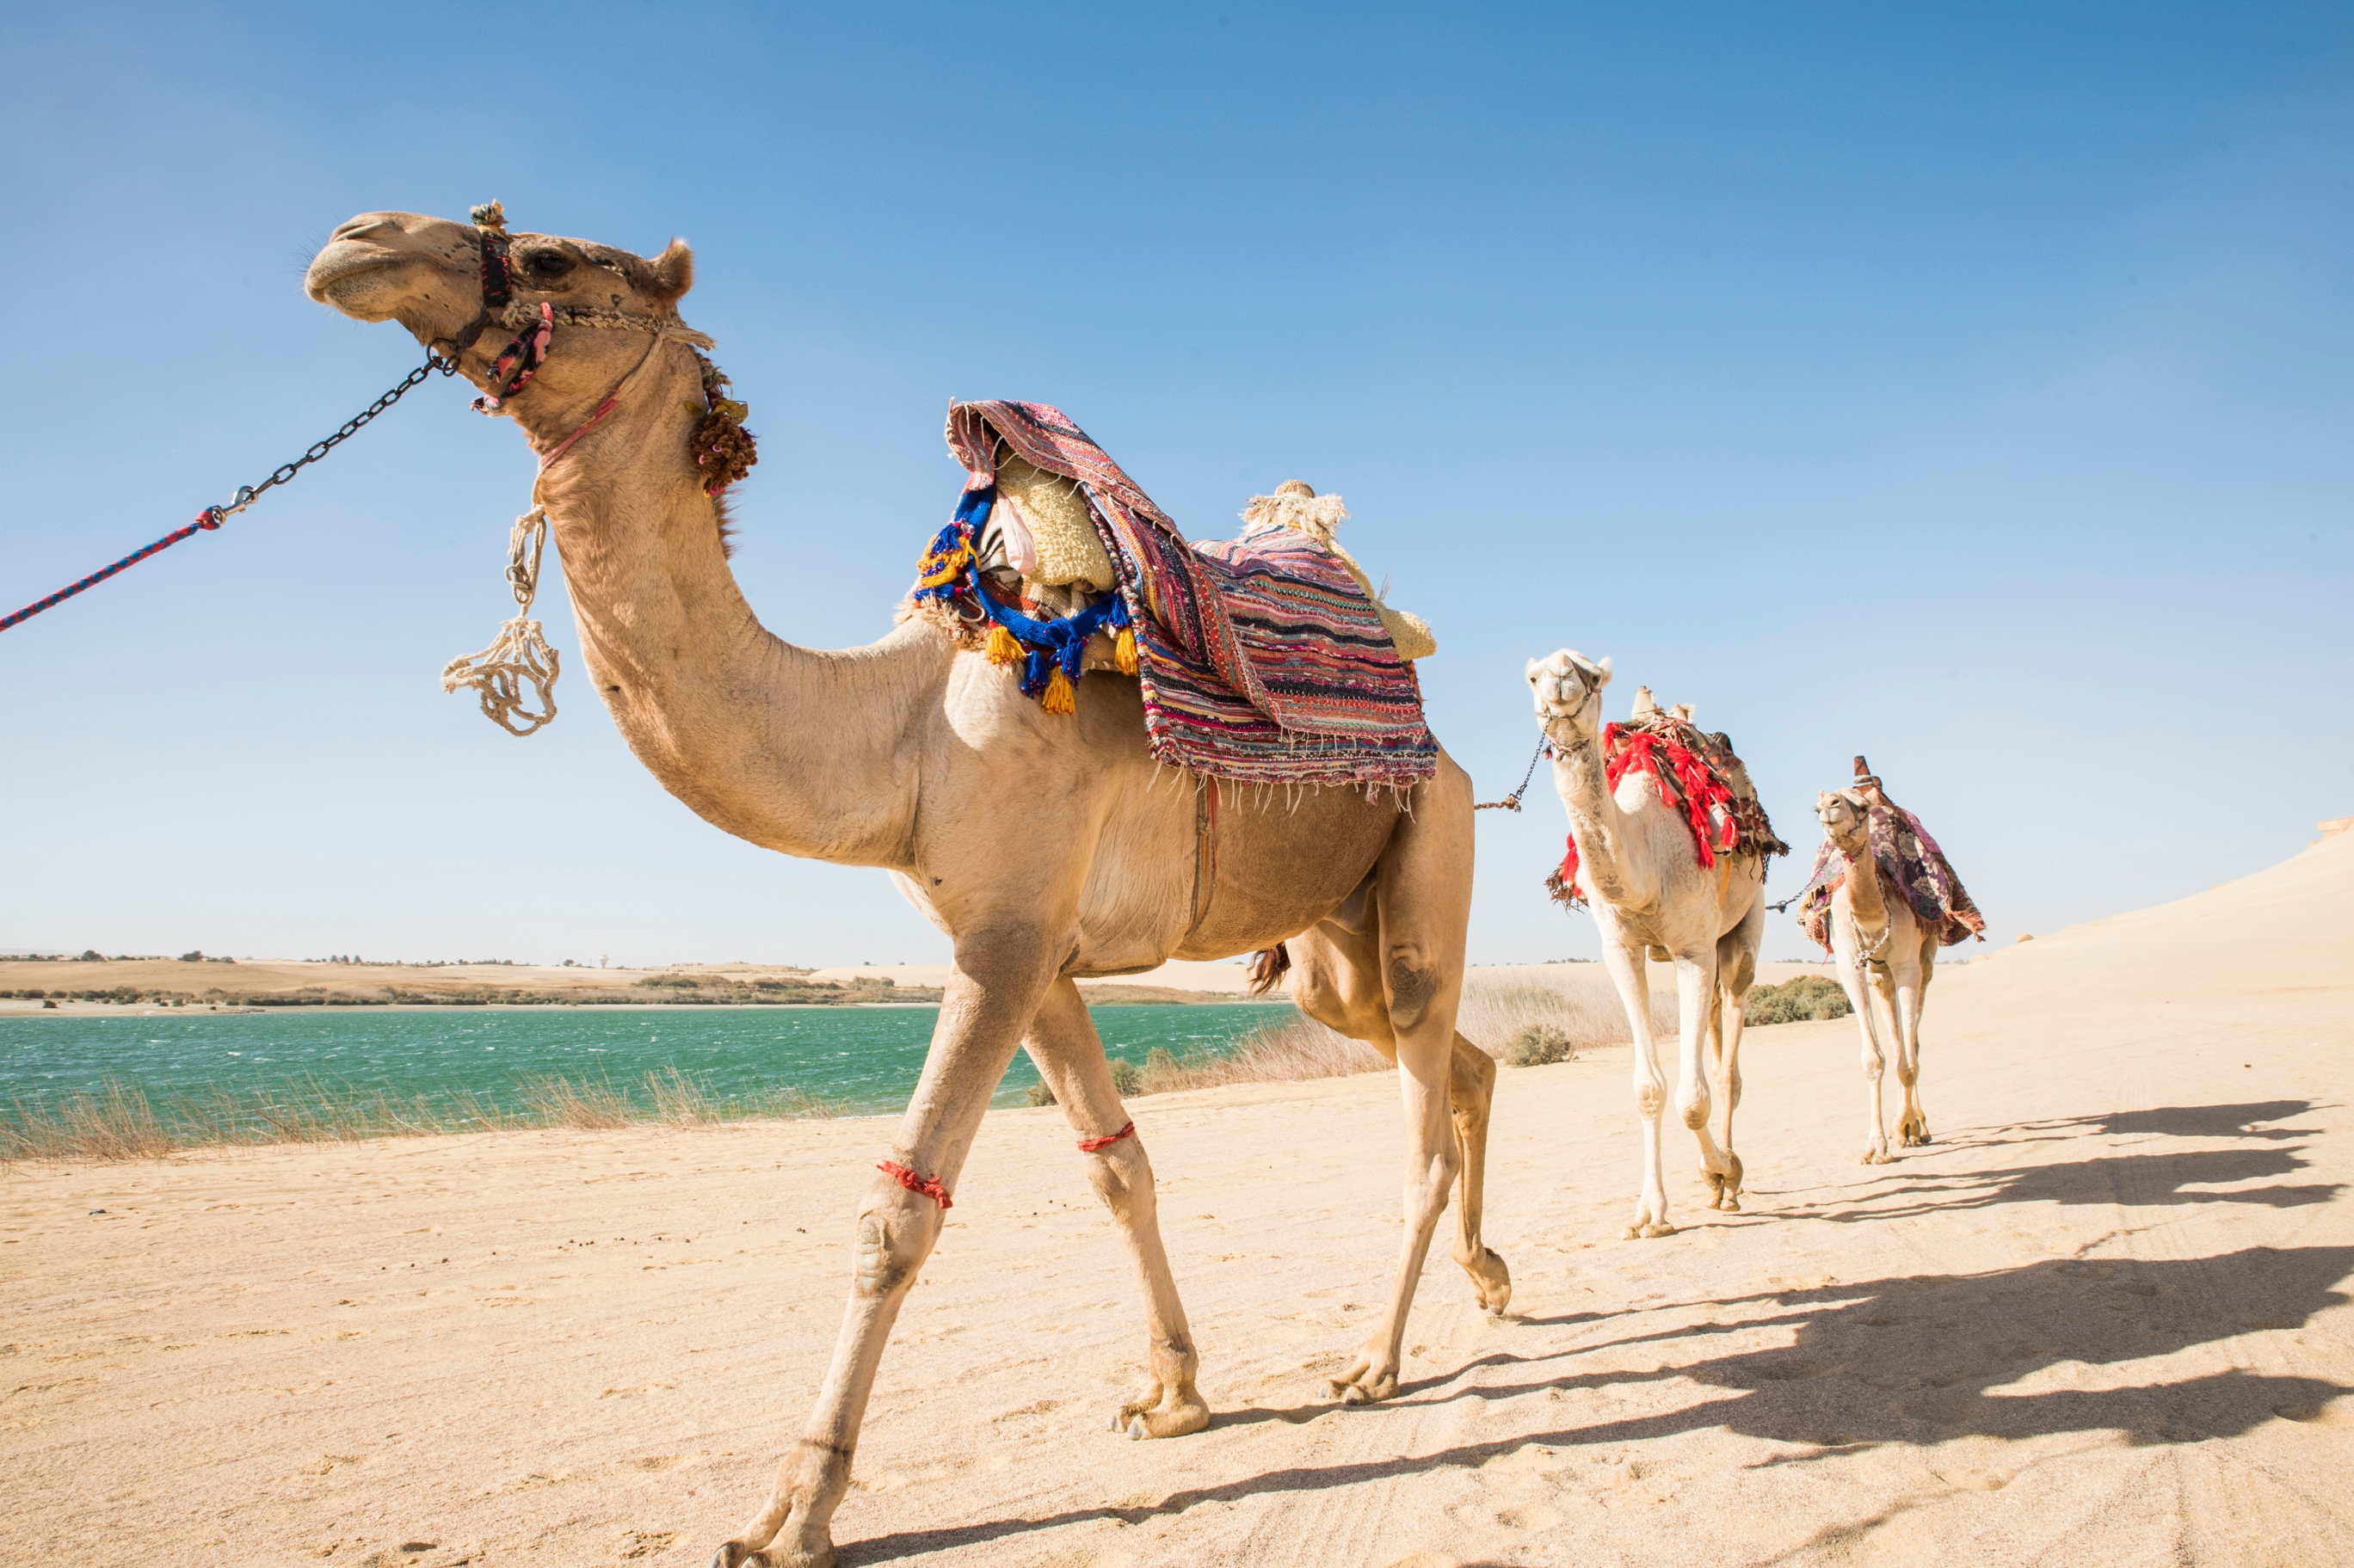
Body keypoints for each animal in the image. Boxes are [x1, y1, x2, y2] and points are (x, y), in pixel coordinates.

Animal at [305, 209, 1509, 1568]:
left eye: (558, 257)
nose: (358, 242)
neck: (908, 728)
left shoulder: (1006, 936)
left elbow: (898, 1215)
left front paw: (794, 1508)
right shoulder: (1034, 952)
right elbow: (1117, 1167)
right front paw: (1173, 1392)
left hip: (1428, 840)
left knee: (1421, 1103)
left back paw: (1374, 1360)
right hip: (1328, 940)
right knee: (1454, 1058)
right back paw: (1491, 1279)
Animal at [1526, 650, 1766, 1237]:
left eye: (1590, 676)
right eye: (1534, 676)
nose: (1561, 679)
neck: (1645, 856)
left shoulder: (1694, 948)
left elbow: (1693, 1099)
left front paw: (1720, 1172)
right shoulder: (1621, 949)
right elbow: (1650, 1089)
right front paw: (1650, 1213)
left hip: (1743, 926)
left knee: (1728, 1063)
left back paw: (1730, 1181)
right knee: (1713, 1035)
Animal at [1814, 785, 1937, 1163]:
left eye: (1864, 807)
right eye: (1817, 809)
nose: (1828, 806)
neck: (1872, 917)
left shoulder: (1908, 965)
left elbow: (1909, 1060)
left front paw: (1907, 1127)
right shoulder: (1850, 966)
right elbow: (1875, 1059)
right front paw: (1875, 1147)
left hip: (1925, 959)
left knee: (1912, 1045)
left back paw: (1918, 1127)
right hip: (1879, 973)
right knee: (1897, 1041)